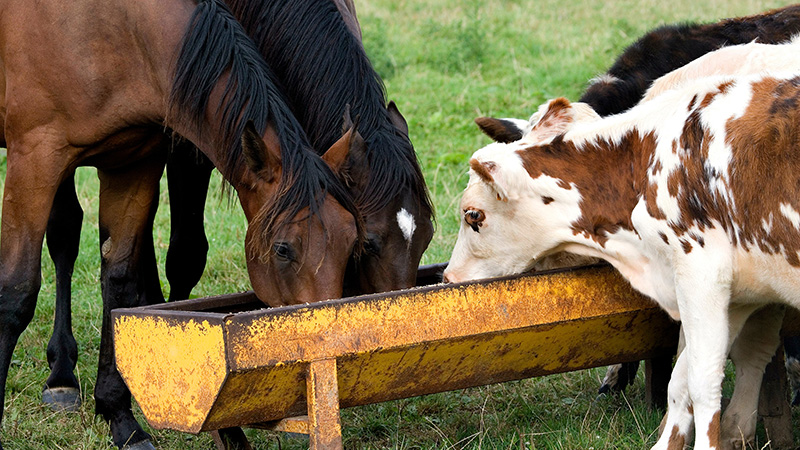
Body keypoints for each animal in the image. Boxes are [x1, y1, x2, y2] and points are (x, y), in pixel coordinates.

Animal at [0, 0, 360, 446]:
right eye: (283, 248)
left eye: (352, 241)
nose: (333, 343)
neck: (110, 29)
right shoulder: (35, 159)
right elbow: (15, 293)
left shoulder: (133, 164)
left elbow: (119, 282)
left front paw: (121, 419)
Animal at [444, 72, 800, 448]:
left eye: (473, 215)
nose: (449, 277)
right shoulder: (738, 295)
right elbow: (682, 380)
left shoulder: (701, 276)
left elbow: (703, 383)